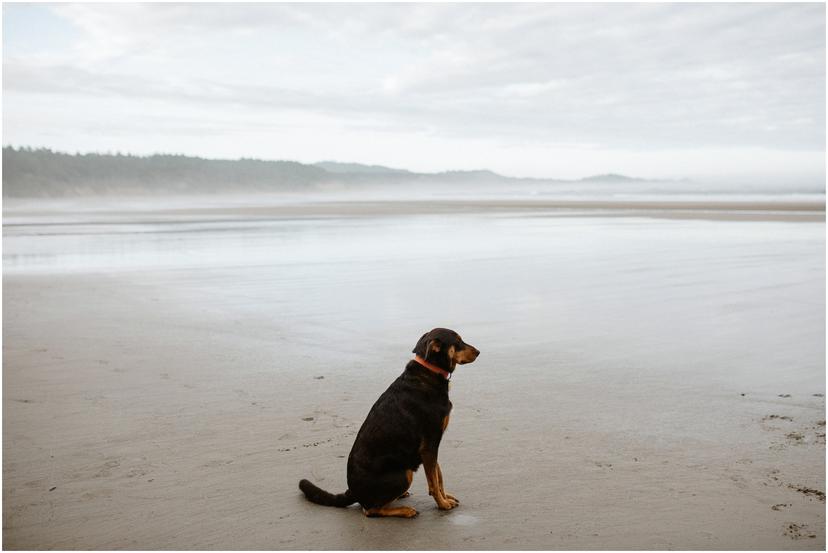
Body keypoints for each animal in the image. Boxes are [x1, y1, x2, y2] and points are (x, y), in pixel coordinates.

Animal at [298, 326, 478, 516]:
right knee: (371, 510)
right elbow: (434, 481)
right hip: (404, 474)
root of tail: (352, 492)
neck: (429, 371)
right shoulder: (430, 444)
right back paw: (405, 510)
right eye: (457, 341)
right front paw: (442, 504)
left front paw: (446, 497)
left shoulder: (432, 446)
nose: (479, 352)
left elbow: (438, 475)